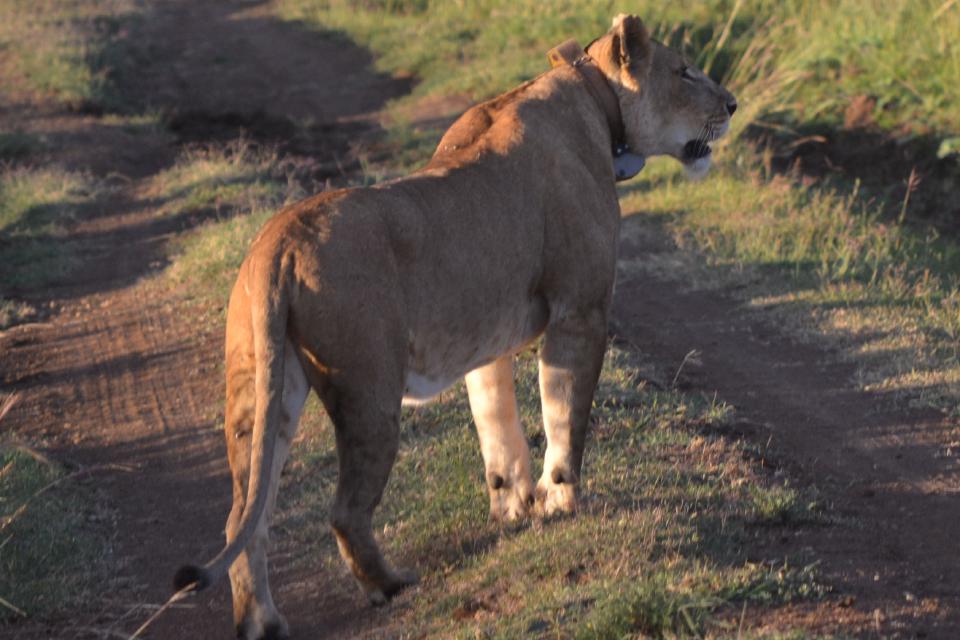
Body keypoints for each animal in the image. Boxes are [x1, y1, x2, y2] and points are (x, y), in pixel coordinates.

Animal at [174, 14, 736, 639]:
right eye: (684, 71)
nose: (733, 104)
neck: (592, 99)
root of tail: (280, 242)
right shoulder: (581, 312)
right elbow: (566, 416)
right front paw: (562, 501)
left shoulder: (486, 342)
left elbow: (498, 427)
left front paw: (515, 509)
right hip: (369, 388)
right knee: (345, 510)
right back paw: (389, 585)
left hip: (261, 389)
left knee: (244, 517)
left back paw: (261, 621)